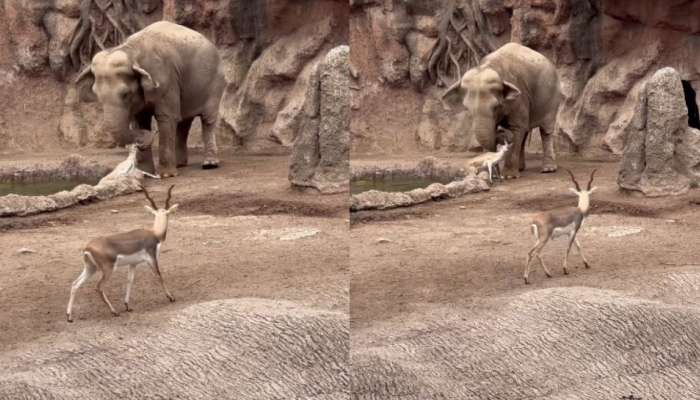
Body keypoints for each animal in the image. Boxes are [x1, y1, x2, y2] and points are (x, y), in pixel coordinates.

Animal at [76, 21, 226, 177]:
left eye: (126, 94)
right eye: (97, 94)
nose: (145, 139)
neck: (131, 51)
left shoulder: (166, 78)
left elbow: (166, 117)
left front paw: (167, 175)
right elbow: (140, 120)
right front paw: (146, 172)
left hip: (215, 82)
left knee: (207, 119)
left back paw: (209, 164)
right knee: (184, 122)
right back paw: (180, 164)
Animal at [444, 42, 561, 178]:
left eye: (496, 106)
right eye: (468, 109)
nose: (499, 133)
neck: (489, 66)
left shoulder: (520, 97)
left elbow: (516, 127)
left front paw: (509, 176)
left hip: (551, 96)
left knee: (545, 130)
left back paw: (548, 169)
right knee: (525, 131)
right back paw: (520, 168)